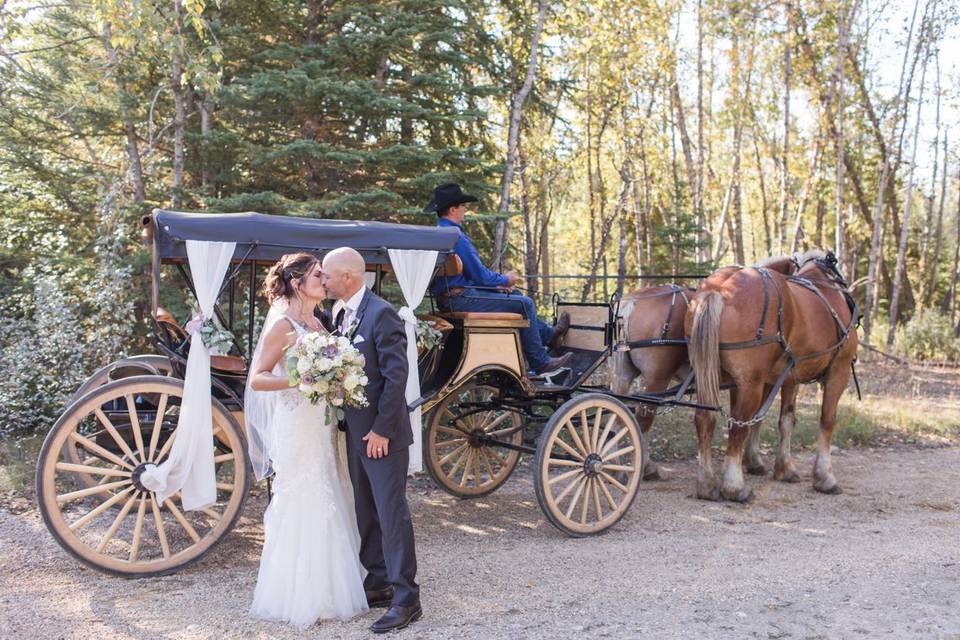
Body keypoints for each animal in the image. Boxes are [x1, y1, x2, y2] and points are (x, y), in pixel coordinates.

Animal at [688, 252, 860, 502]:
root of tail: (719, 289)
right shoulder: (839, 370)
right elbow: (827, 421)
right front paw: (824, 476)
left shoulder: (787, 377)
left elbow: (783, 420)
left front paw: (780, 467)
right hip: (750, 383)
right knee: (737, 426)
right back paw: (734, 487)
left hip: (707, 375)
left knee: (705, 419)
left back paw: (706, 483)